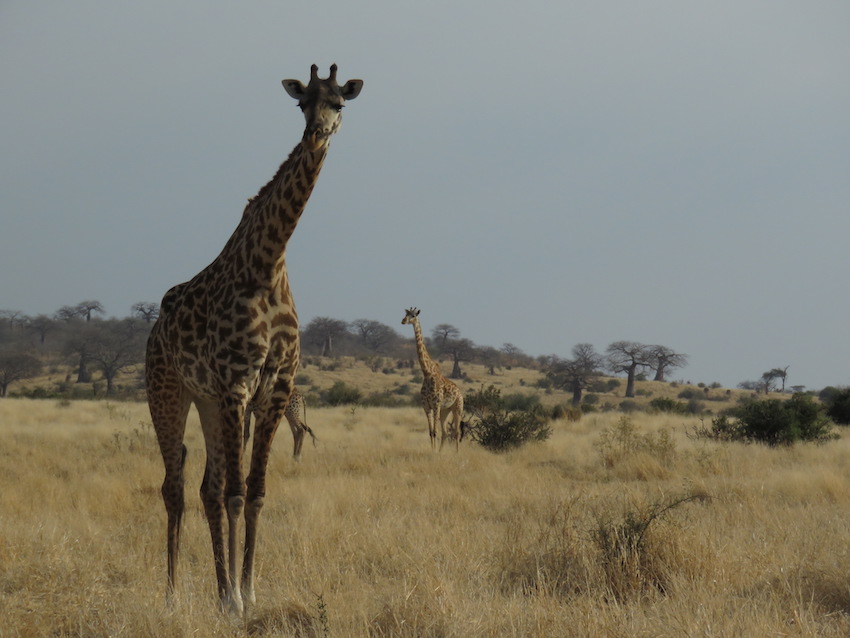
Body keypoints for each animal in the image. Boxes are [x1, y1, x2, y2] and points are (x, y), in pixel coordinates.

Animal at [145, 65, 362, 616]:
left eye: (339, 103)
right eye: (302, 102)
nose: (317, 133)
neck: (268, 263)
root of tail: (154, 330)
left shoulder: (275, 389)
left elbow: (257, 491)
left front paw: (248, 590)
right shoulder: (237, 384)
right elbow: (237, 493)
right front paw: (237, 600)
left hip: (207, 400)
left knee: (206, 487)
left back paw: (216, 588)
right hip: (168, 392)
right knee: (176, 486)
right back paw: (172, 595)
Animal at [400, 308, 464, 450]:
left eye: (413, 315)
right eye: (405, 314)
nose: (403, 321)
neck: (427, 373)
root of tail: (460, 392)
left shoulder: (435, 404)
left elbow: (435, 431)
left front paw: (433, 451)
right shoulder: (426, 406)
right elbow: (431, 432)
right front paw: (433, 451)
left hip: (457, 408)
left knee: (456, 432)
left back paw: (457, 453)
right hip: (445, 410)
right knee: (445, 433)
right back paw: (440, 452)